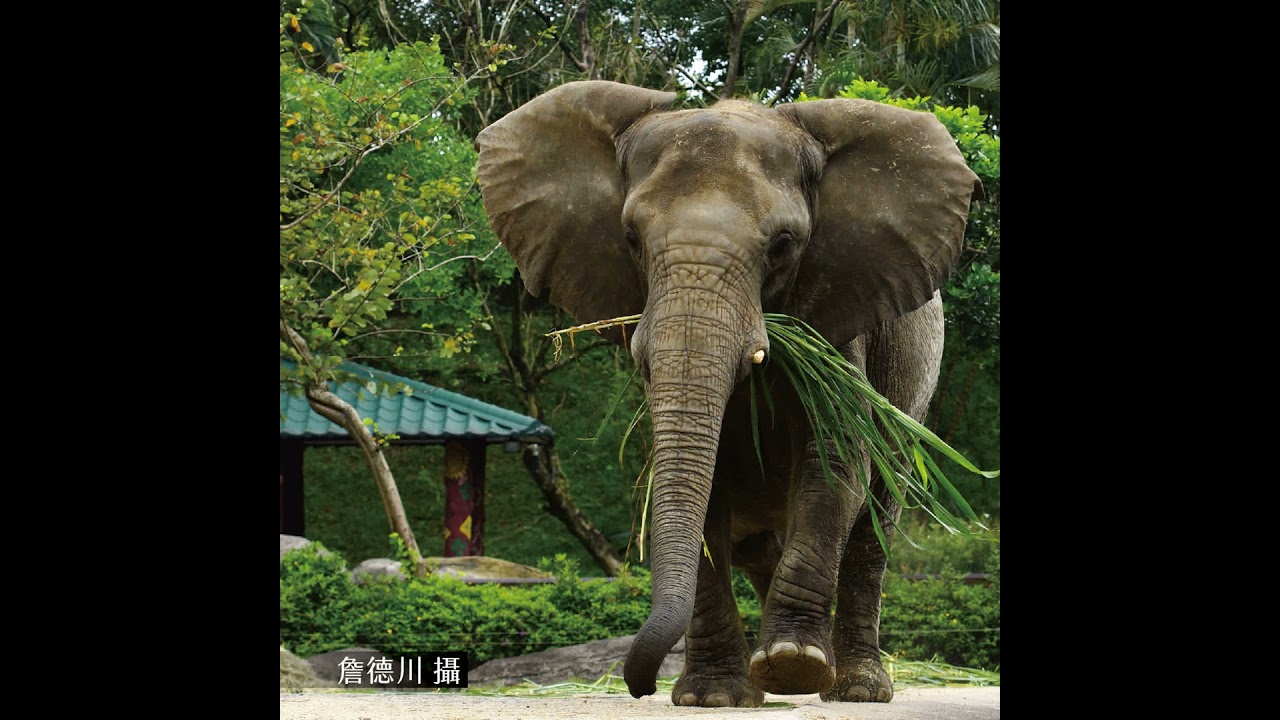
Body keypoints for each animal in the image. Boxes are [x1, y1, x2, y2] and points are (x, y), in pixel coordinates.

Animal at [474, 80, 982, 707]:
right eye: (631, 239)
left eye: (784, 245)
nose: (641, 686)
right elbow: (697, 479)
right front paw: (715, 697)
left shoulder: (843, 319)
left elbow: (836, 464)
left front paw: (792, 664)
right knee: (761, 546)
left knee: (874, 522)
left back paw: (851, 687)